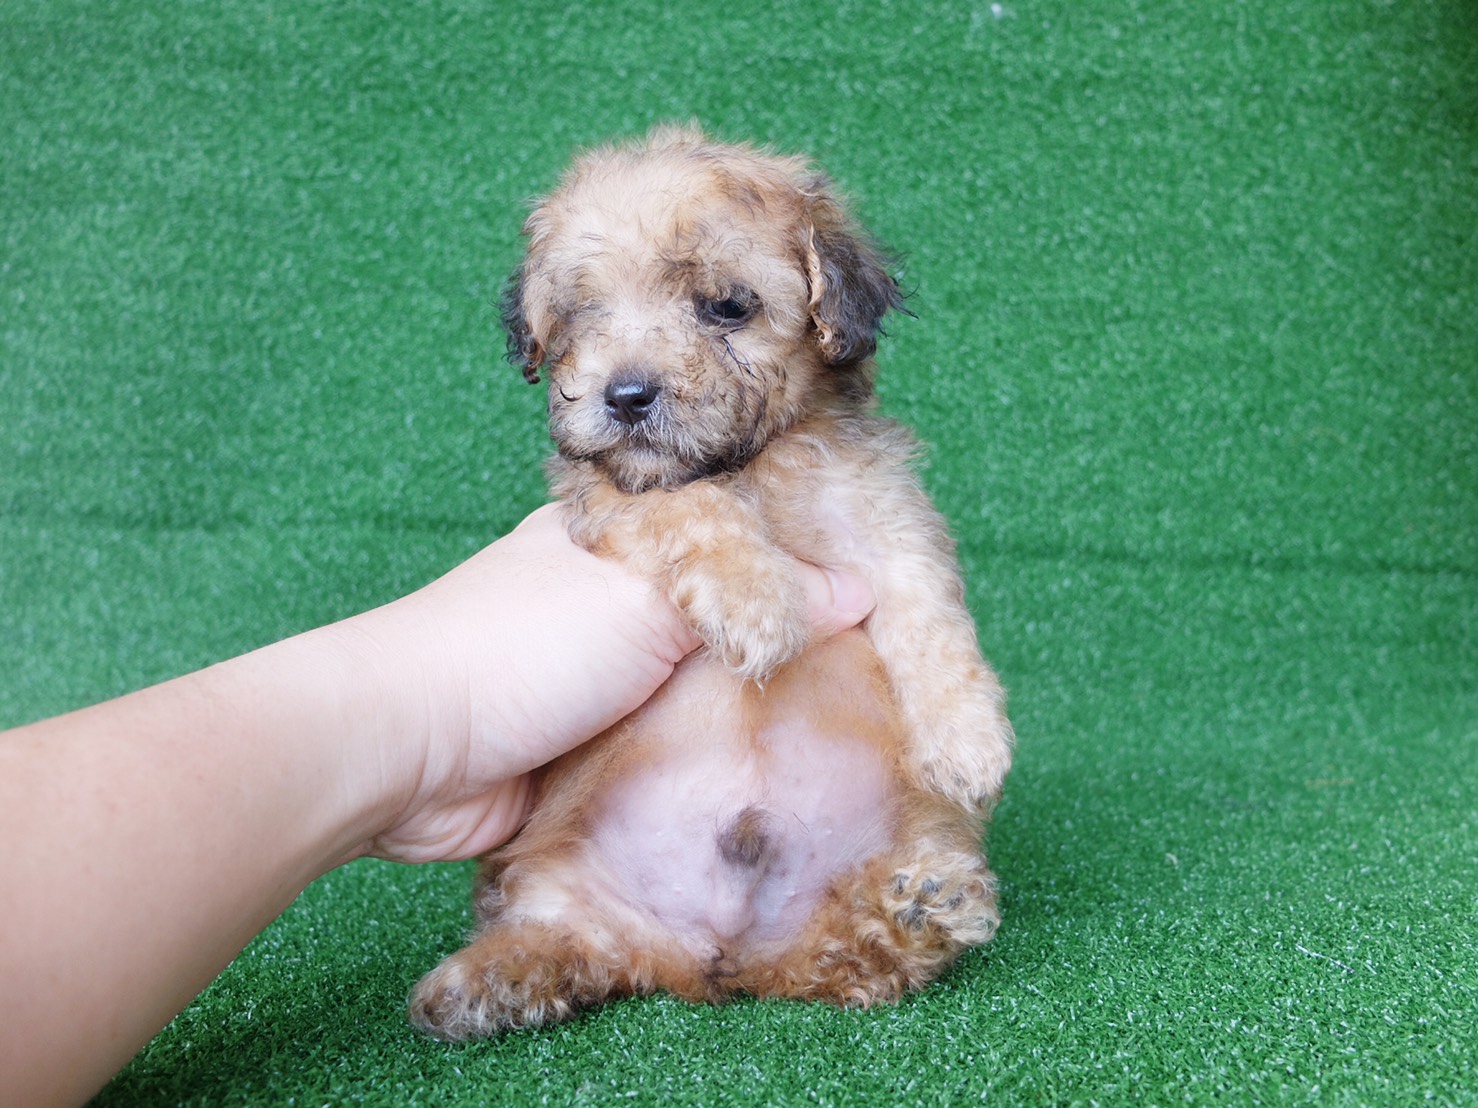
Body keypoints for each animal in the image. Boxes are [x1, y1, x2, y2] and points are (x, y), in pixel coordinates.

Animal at [410, 126, 1014, 1038]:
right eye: (581, 312)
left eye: (727, 306)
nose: (626, 396)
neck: (749, 466)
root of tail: (714, 960)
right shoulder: (613, 493)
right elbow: (687, 506)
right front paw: (757, 600)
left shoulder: (885, 514)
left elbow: (928, 612)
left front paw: (967, 738)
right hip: (555, 879)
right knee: (565, 941)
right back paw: (478, 984)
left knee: (847, 960)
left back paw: (915, 909)